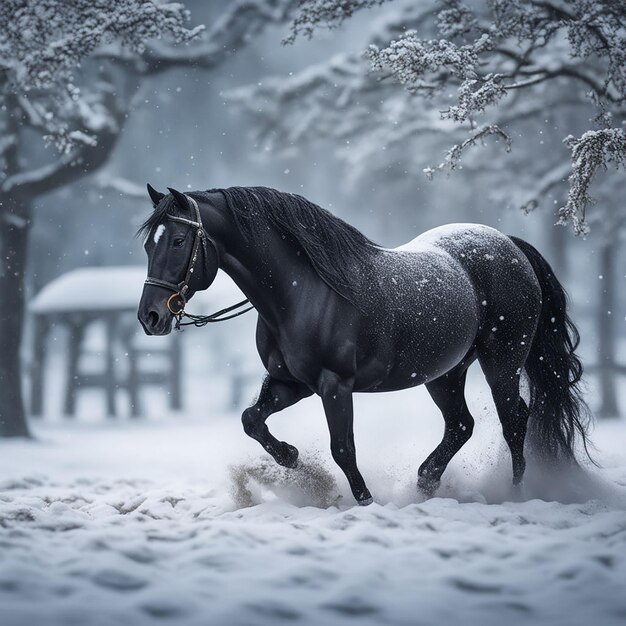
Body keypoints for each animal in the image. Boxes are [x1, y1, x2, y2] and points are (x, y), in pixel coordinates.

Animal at [138, 184, 588, 502]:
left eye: (177, 241)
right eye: (148, 243)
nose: (151, 317)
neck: (303, 292)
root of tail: (510, 245)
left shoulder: (334, 386)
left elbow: (343, 448)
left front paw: (363, 499)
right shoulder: (290, 383)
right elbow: (252, 420)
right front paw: (294, 460)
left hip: (502, 364)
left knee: (514, 422)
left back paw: (516, 494)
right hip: (445, 373)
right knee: (461, 425)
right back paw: (425, 484)